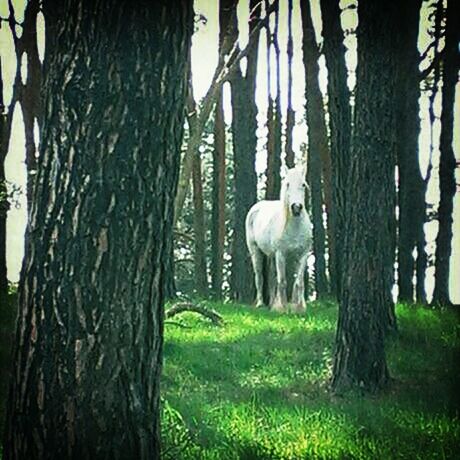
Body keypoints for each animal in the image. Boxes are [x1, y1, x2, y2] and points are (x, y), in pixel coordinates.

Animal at [244, 167, 312, 314]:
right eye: (287, 184)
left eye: (303, 185)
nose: (296, 207)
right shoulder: (281, 254)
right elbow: (283, 281)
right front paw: (283, 308)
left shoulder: (303, 255)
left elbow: (299, 282)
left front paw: (300, 307)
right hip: (256, 251)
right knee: (259, 277)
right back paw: (261, 303)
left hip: (272, 256)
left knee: (272, 278)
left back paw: (272, 304)